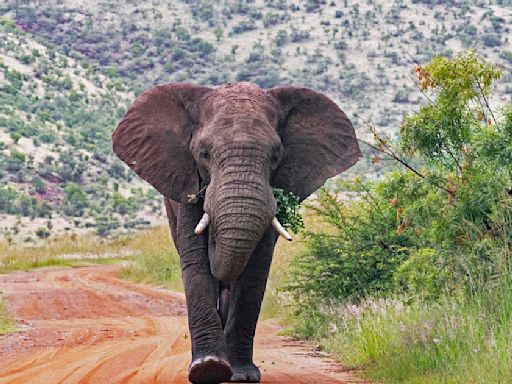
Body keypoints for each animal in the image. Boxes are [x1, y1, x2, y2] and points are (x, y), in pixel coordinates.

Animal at [112, 82, 360, 384]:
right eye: (204, 153)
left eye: (276, 156)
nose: (215, 237)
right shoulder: (187, 183)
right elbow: (196, 264)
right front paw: (208, 369)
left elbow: (254, 271)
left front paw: (241, 375)